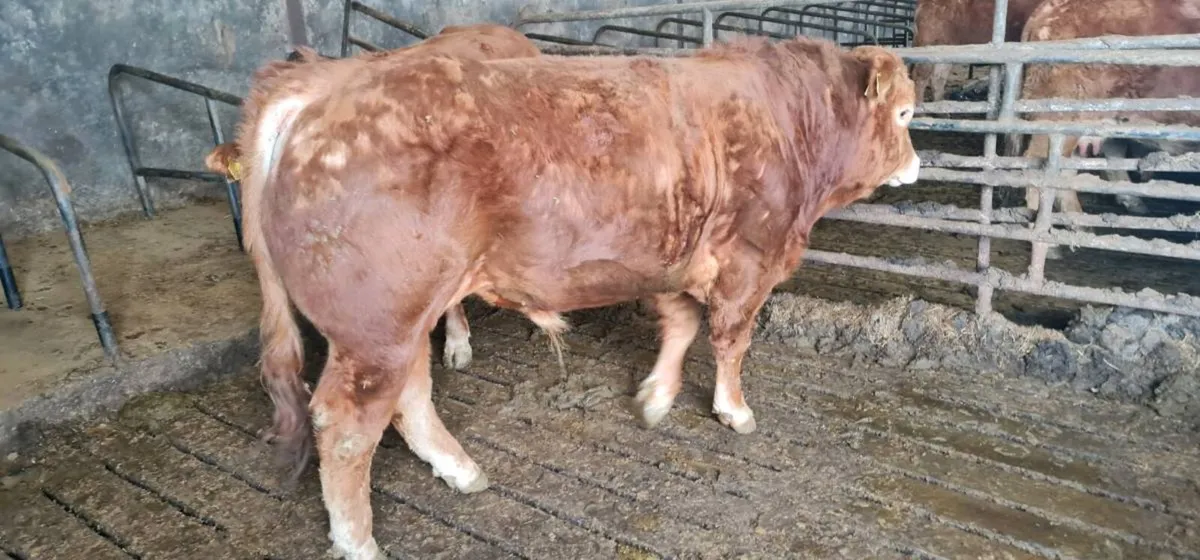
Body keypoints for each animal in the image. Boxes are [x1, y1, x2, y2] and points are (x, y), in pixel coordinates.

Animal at [235, 35, 919, 558]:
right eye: (907, 115)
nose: (915, 163)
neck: (786, 122)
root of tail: (322, 83)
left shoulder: (670, 260)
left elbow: (681, 324)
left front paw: (656, 396)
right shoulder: (749, 259)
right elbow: (730, 338)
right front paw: (733, 410)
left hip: (402, 321)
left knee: (410, 397)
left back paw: (460, 470)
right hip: (376, 325)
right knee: (347, 427)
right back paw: (359, 542)